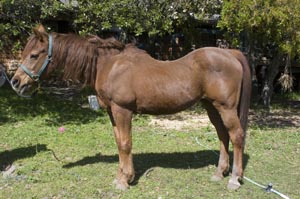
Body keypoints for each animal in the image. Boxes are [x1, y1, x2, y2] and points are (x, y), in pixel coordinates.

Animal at [11, 25, 251, 191]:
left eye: (34, 55)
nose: (16, 82)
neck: (110, 65)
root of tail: (231, 53)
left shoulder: (122, 110)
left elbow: (126, 144)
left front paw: (124, 181)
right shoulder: (112, 112)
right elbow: (119, 143)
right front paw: (123, 176)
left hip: (226, 107)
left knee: (237, 136)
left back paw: (234, 179)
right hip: (211, 106)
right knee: (223, 135)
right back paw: (219, 173)